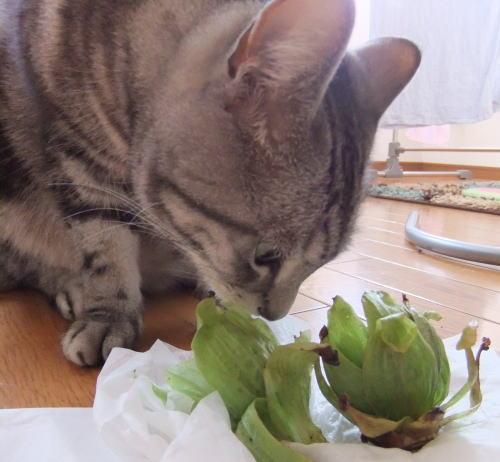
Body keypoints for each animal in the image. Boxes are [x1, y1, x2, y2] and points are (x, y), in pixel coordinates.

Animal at [0, 0, 420, 366]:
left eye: (321, 263)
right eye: (266, 256)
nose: (273, 315)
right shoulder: (80, 159)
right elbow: (104, 248)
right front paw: (108, 313)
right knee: (29, 265)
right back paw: (71, 287)